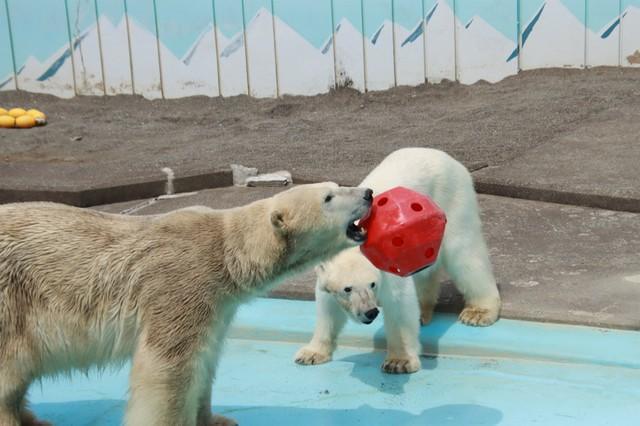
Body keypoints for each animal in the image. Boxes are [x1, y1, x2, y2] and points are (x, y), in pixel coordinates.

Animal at [0, 183, 372, 426]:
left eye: (336, 186)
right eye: (329, 197)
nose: (369, 193)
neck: (227, 253)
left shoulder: (218, 305)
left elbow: (204, 362)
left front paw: (216, 420)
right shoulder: (180, 284)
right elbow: (168, 369)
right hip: (11, 297)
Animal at [296, 148, 500, 374]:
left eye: (373, 284)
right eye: (347, 289)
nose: (370, 312)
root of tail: (443, 155)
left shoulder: (387, 266)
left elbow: (399, 305)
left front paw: (399, 361)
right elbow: (327, 309)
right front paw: (311, 353)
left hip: (453, 197)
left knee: (463, 254)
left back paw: (478, 312)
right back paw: (424, 310)